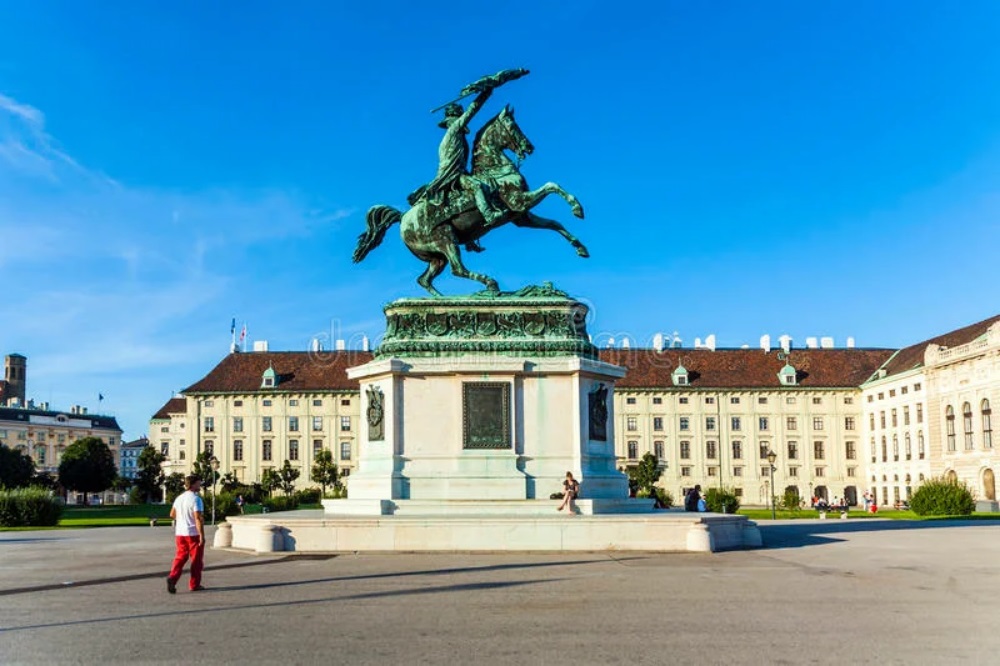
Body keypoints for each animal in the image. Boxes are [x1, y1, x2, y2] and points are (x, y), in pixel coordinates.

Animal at [352, 106, 584, 294]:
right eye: (512, 125)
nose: (529, 147)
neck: (495, 169)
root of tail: (402, 218)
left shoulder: (521, 217)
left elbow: (554, 223)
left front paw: (580, 247)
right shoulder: (520, 201)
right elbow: (552, 185)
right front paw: (577, 208)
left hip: (437, 256)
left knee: (425, 279)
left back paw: (442, 300)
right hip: (446, 240)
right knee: (457, 269)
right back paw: (490, 284)